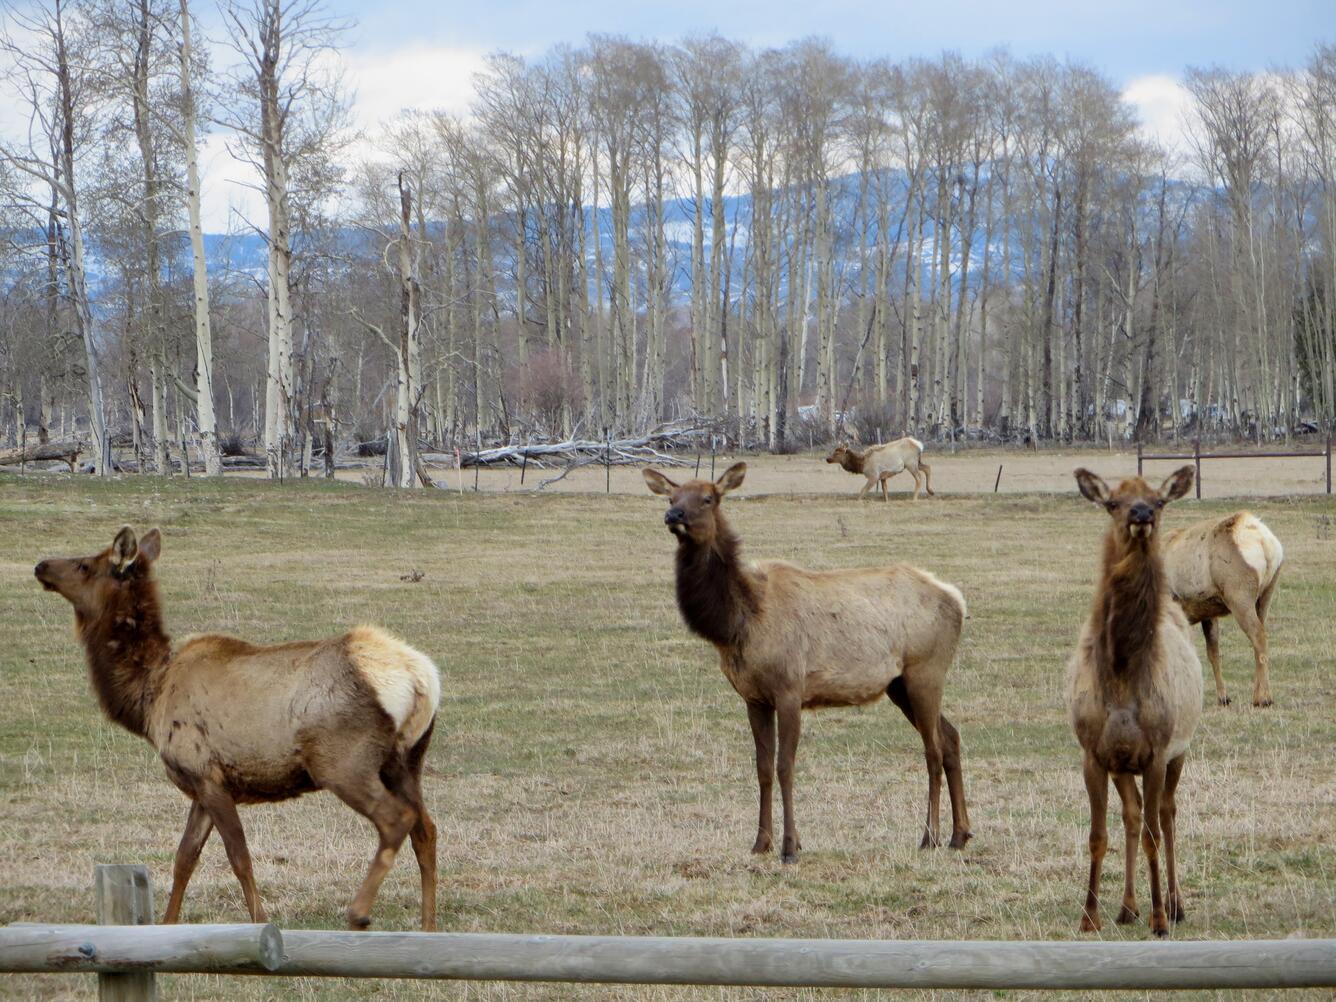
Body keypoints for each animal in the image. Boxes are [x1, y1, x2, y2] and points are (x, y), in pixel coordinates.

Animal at [33, 526, 442, 931]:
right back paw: (428, 927)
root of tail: (421, 679)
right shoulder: (200, 783)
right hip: (406, 761)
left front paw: (262, 923)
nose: (41, 565)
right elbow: (185, 857)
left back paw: (358, 913)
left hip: (343, 761)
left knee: (396, 819)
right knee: (426, 830)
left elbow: (238, 856)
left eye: (86, 565)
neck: (148, 699)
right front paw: (167, 926)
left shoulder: (207, 774)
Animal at [643, 462, 971, 862]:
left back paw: (929, 836)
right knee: (951, 737)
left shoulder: (789, 688)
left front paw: (790, 847)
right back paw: (960, 834)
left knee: (933, 749)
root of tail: (957, 599)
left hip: (926, 670)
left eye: (708, 498)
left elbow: (786, 766)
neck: (739, 623)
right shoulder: (754, 697)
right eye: (672, 497)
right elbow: (763, 768)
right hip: (899, 685)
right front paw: (761, 843)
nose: (674, 515)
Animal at [1067, 467, 1203, 938]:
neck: (1123, 677)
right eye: (1113, 502)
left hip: (1180, 750)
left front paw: (1160, 918)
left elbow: (1153, 835)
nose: (1141, 513)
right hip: (1122, 765)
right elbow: (1098, 834)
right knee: (1131, 813)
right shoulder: (1094, 752)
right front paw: (1089, 915)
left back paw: (1176, 904)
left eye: (1158, 500)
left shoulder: (1157, 751)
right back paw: (1127, 907)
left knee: (1166, 813)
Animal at [1161, 513, 1284, 707]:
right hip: (1265, 597)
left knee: (1259, 637)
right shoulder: (1209, 616)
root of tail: (1264, 541)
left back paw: (1264, 699)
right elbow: (1213, 653)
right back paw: (1256, 696)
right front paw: (1223, 697)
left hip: (1240, 600)